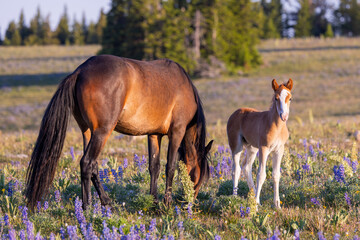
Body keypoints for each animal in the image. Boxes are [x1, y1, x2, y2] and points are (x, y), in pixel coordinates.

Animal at [25, 54, 214, 210]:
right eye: (200, 176)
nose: (190, 203)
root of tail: (80, 71)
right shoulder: (177, 132)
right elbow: (171, 167)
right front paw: (167, 204)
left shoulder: (154, 135)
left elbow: (154, 167)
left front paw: (155, 203)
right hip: (102, 131)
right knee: (87, 163)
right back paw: (87, 208)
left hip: (88, 132)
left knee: (92, 165)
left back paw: (105, 201)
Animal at [228, 78, 292, 208]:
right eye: (276, 98)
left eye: (290, 98)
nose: (284, 116)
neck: (277, 127)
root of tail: (234, 113)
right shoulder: (264, 148)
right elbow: (261, 175)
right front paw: (257, 204)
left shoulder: (279, 150)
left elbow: (276, 175)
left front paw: (277, 205)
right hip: (236, 146)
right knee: (236, 170)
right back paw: (235, 198)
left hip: (252, 148)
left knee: (246, 167)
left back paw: (253, 197)